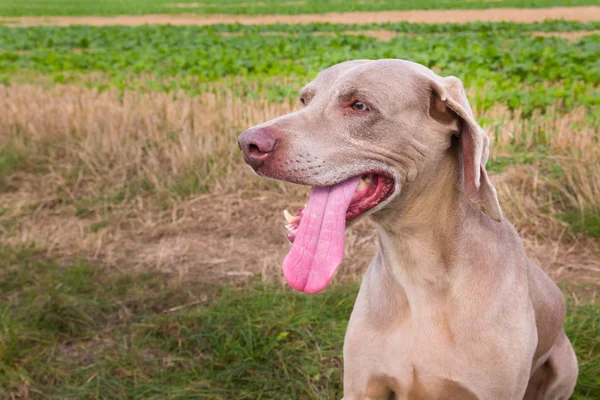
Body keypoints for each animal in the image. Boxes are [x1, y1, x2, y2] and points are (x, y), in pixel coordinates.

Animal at [238, 59, 576, 400]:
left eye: (359, 105)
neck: (420, 271)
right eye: (304, 100)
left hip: (566, 363)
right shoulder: (361, 386)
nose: (247, 144)